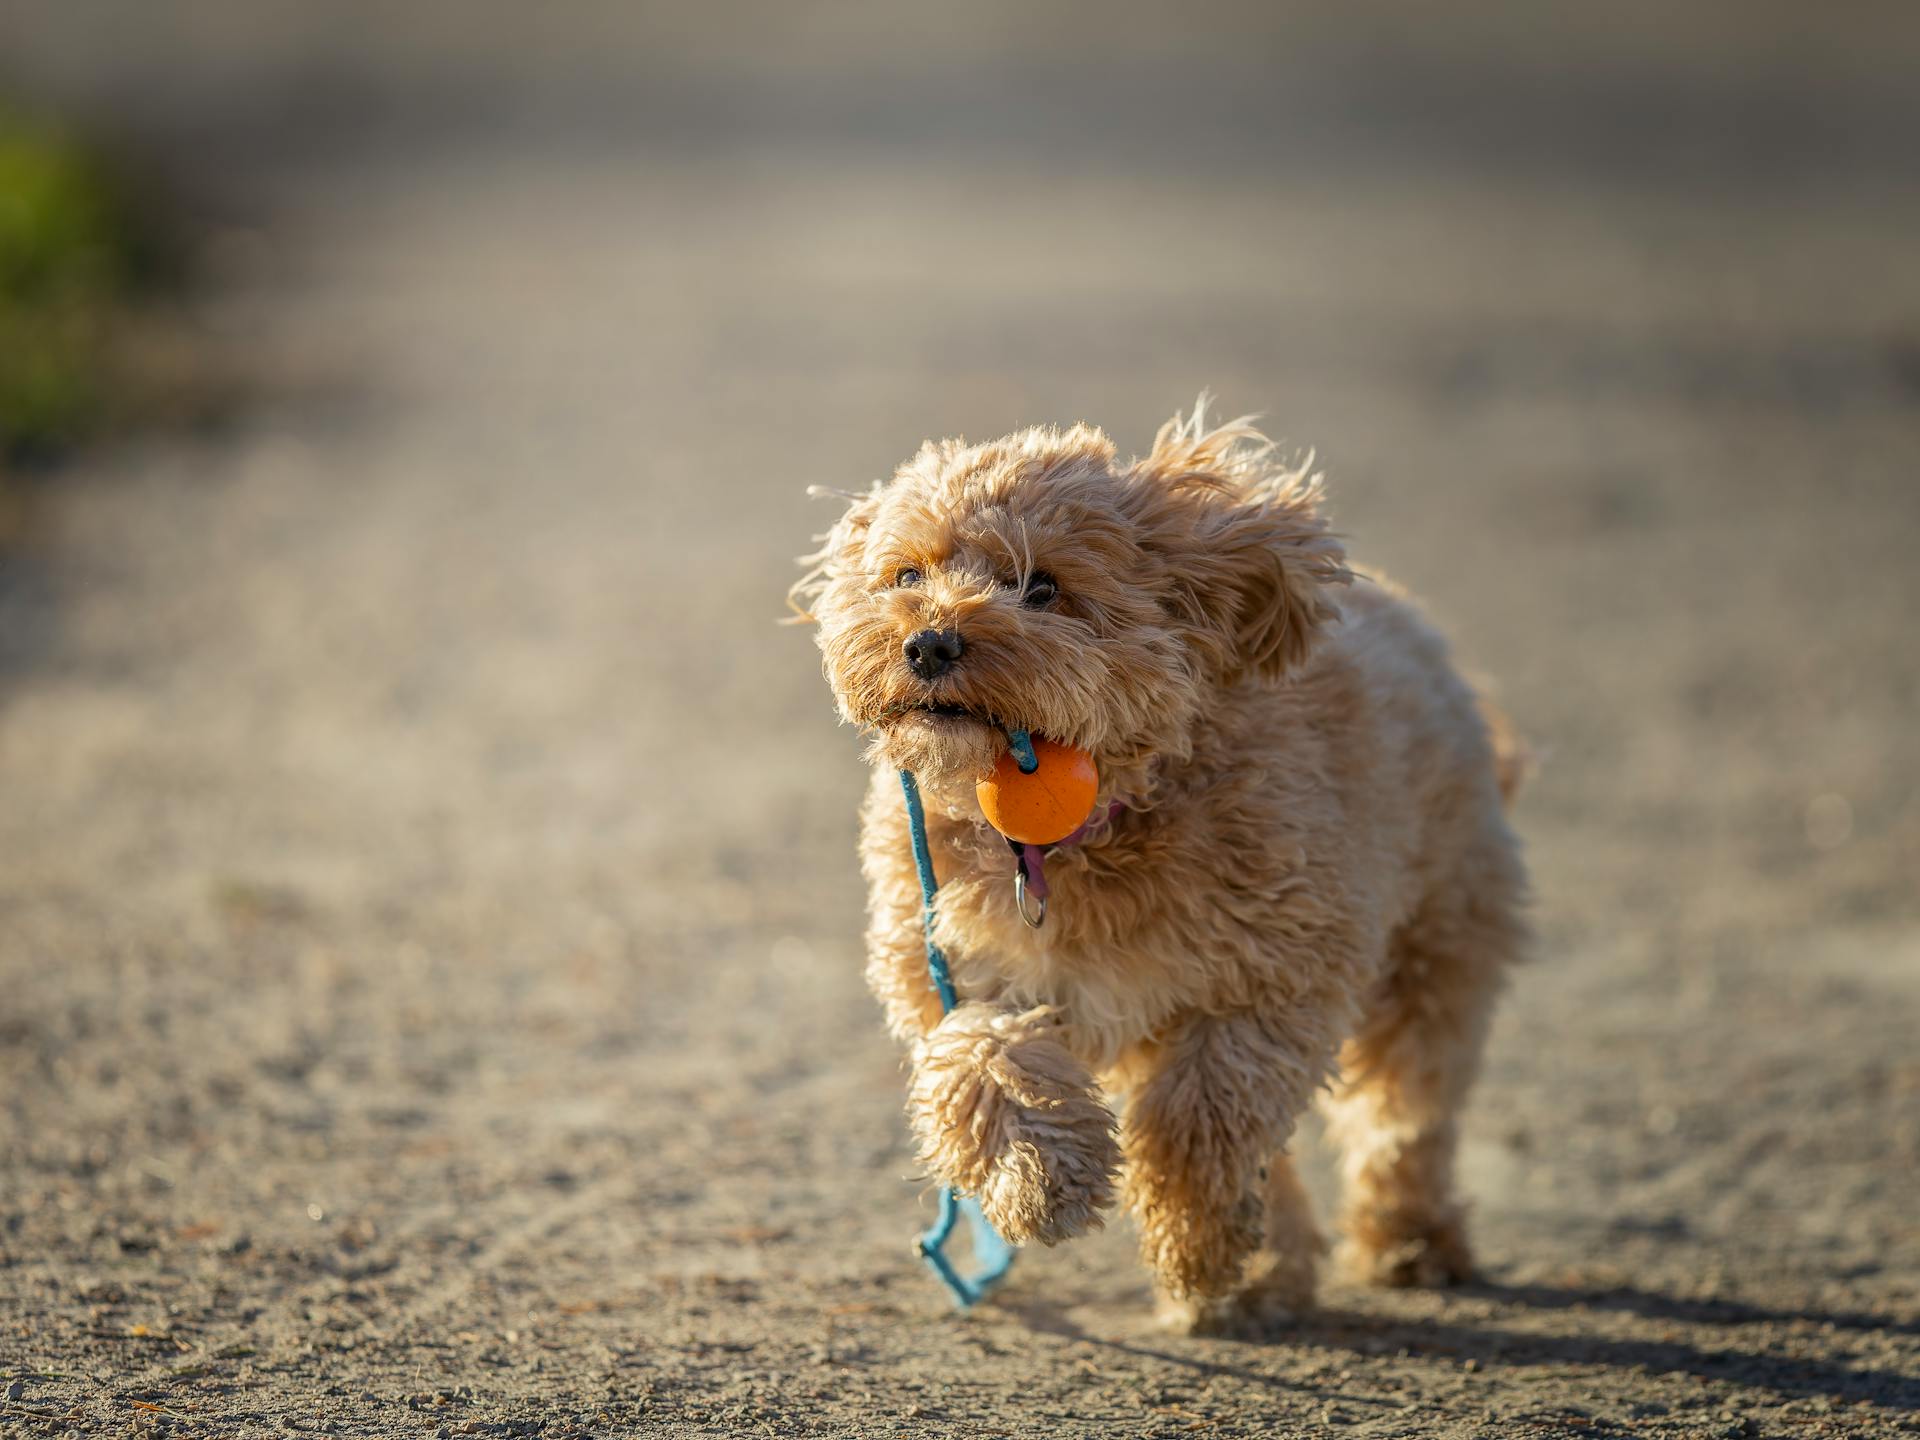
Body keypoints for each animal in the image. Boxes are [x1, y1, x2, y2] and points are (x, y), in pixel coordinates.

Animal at [787, 403, 1520, 1328]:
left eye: (1042, 586)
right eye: (906, 573)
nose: (927, 644)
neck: (1076, 831)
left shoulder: (1271, 980)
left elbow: (1198, 1122)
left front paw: (1194, 1245)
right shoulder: (958, 965)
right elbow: (984, 1055)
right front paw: (1042, 1178)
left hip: (1436, 945)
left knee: (1405, 1110)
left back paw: (1407, 1242)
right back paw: (1270, 1271)